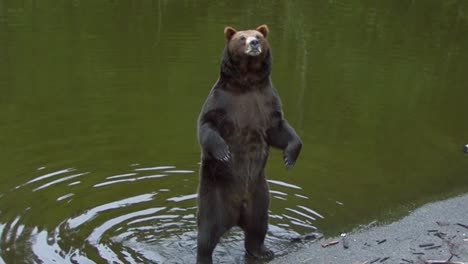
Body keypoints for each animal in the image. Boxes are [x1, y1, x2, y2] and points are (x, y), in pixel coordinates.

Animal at [195, 24, 302, 264]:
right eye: (242, 37)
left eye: (259, 36)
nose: (254, 43)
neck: (248, 82)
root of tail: (236, 215)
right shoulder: (222, 102)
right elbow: (207, 124)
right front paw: (223, 152)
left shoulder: (266, 103)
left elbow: (279, 129)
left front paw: (290, 157)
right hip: (214, 196)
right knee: (207, 234)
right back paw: (205, 256)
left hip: (260, 195)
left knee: (257, 226)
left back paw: (262, 251)